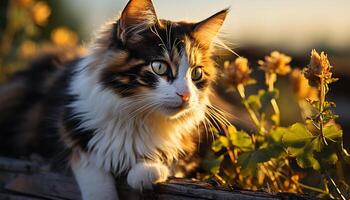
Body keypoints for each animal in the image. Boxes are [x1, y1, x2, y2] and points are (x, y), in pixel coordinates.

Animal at [0, 0, 228, 199]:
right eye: (160, 67)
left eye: (196, 73)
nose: (186, 95)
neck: (138, 117)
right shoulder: (72, 135)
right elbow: (94, 174)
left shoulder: (198, 147)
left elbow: (171, 158)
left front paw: (146, 171)